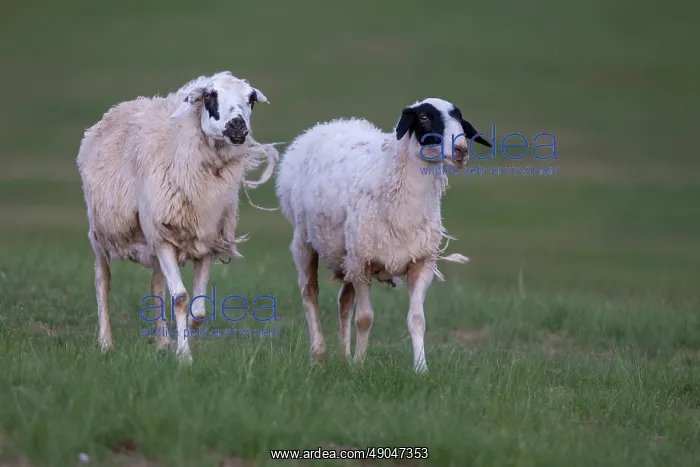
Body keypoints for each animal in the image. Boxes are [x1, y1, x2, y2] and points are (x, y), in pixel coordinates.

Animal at [76, 71, 279, 363]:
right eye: (210, 96)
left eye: (251, 99)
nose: (238, 126)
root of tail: (118, 109)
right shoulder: (162, 238)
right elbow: (181, 298)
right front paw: (184, 357)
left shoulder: (206, 241)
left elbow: (199, 309)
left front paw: (181, 340)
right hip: (101, 233)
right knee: (102, 280)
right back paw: (106, 342)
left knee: (156, 285)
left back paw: (162, 341)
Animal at [275, 98, 492, 373]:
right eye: (424, 117)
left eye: (459, 119)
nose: (461, 149)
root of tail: (328, 125)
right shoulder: (362, 263)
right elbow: (365, 318)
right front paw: (359, 365)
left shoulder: (421, 263)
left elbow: (417, 319)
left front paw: (421, 369)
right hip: (306, 242)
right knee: (309, 294)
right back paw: (319, 355)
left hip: (348, 254)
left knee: (344, 301)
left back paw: (344, 357)